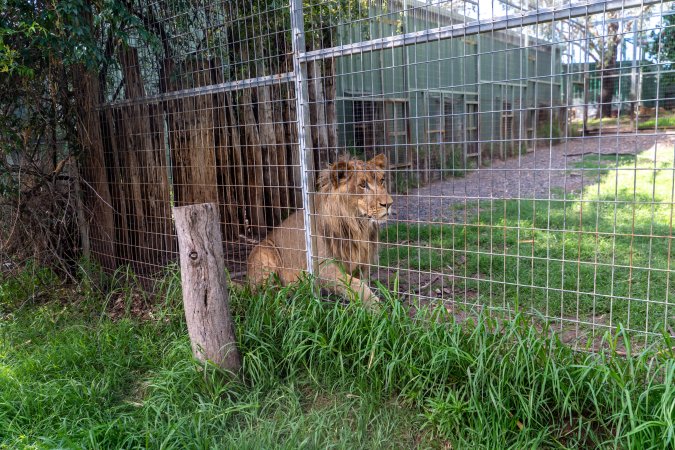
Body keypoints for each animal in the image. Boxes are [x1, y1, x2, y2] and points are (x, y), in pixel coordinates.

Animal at [246, 153, 394, 305]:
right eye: (363, 185)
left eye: (382, 180)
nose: (389, 204)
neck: (357, 225)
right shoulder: (324, 267)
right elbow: (358, 286)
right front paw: (379, 307)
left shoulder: (362, 262)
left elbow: (360, 284)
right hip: (265, 251)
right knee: (262, 296)